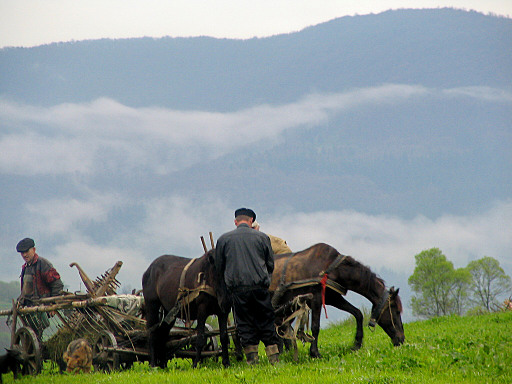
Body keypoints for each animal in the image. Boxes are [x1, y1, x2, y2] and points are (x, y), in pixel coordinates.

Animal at [270, 243, 406, 356]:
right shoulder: (316, 299)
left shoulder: (334, 298)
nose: (402, 339)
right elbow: (315, 326)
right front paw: (315, 353)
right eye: (396, 310)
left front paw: (357, 344)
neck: (333, 270)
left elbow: (358, 313)